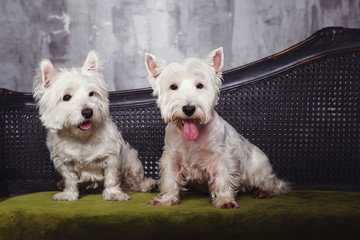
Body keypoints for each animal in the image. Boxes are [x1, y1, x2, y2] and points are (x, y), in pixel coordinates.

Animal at [33, 50, 156, 201]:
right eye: (66, 97)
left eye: (91, 93)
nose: (88, 112)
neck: (82, 138)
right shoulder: (64, 162)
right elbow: (69, 179)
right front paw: (69, 194)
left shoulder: (111, 157)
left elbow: (111, 177)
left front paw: (113, 193)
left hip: (132, 161)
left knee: (134, 181)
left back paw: (147, 185)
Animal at [145, 47, 292, 208]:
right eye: (173, 86)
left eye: (200, 85)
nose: (189, 109)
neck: (194, 137)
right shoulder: (171, 156)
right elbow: (170, 178)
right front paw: (166, 199)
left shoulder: (222, 156)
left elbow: (223, 178)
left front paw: (225, 200)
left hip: (259, 169)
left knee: (276, 184)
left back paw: (264, 191)